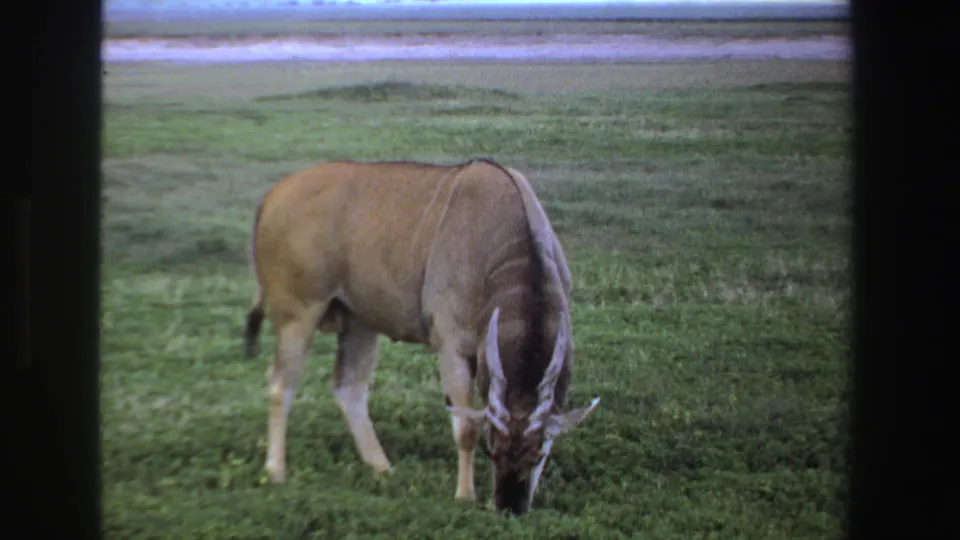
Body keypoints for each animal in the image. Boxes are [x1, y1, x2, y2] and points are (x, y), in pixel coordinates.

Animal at [243, 158, 600, 515]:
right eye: (491, 448)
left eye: (538, 454)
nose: (509, 507)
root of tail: (272, 196)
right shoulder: (451, 346)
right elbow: (465, 427)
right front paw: (464, 495)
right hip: (298, 313)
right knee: (280, 385)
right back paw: (276, 470)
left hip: (360, 323)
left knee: (349, 389)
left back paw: (382, 468)